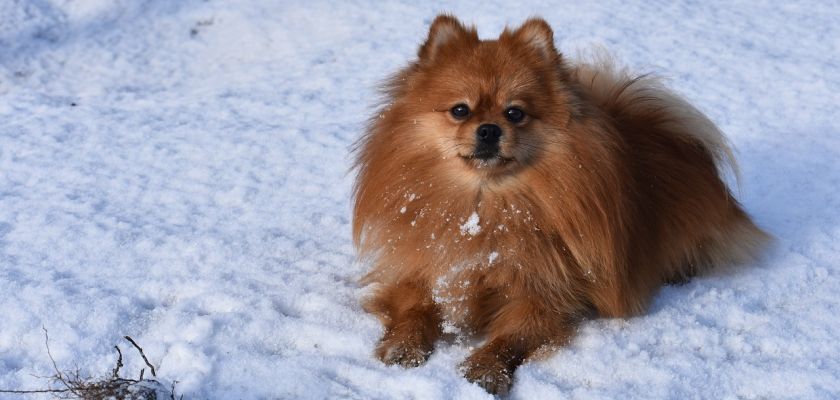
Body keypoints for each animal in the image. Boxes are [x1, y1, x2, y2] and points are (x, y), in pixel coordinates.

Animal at [352, 14, 772, 394]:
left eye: (515, 113)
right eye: (460, 110)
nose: (489, 130)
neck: (484, 207)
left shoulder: (547, 293)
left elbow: (513, 336)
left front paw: (486, 367)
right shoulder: (423, 268)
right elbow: (414, 307)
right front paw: (404, 343)